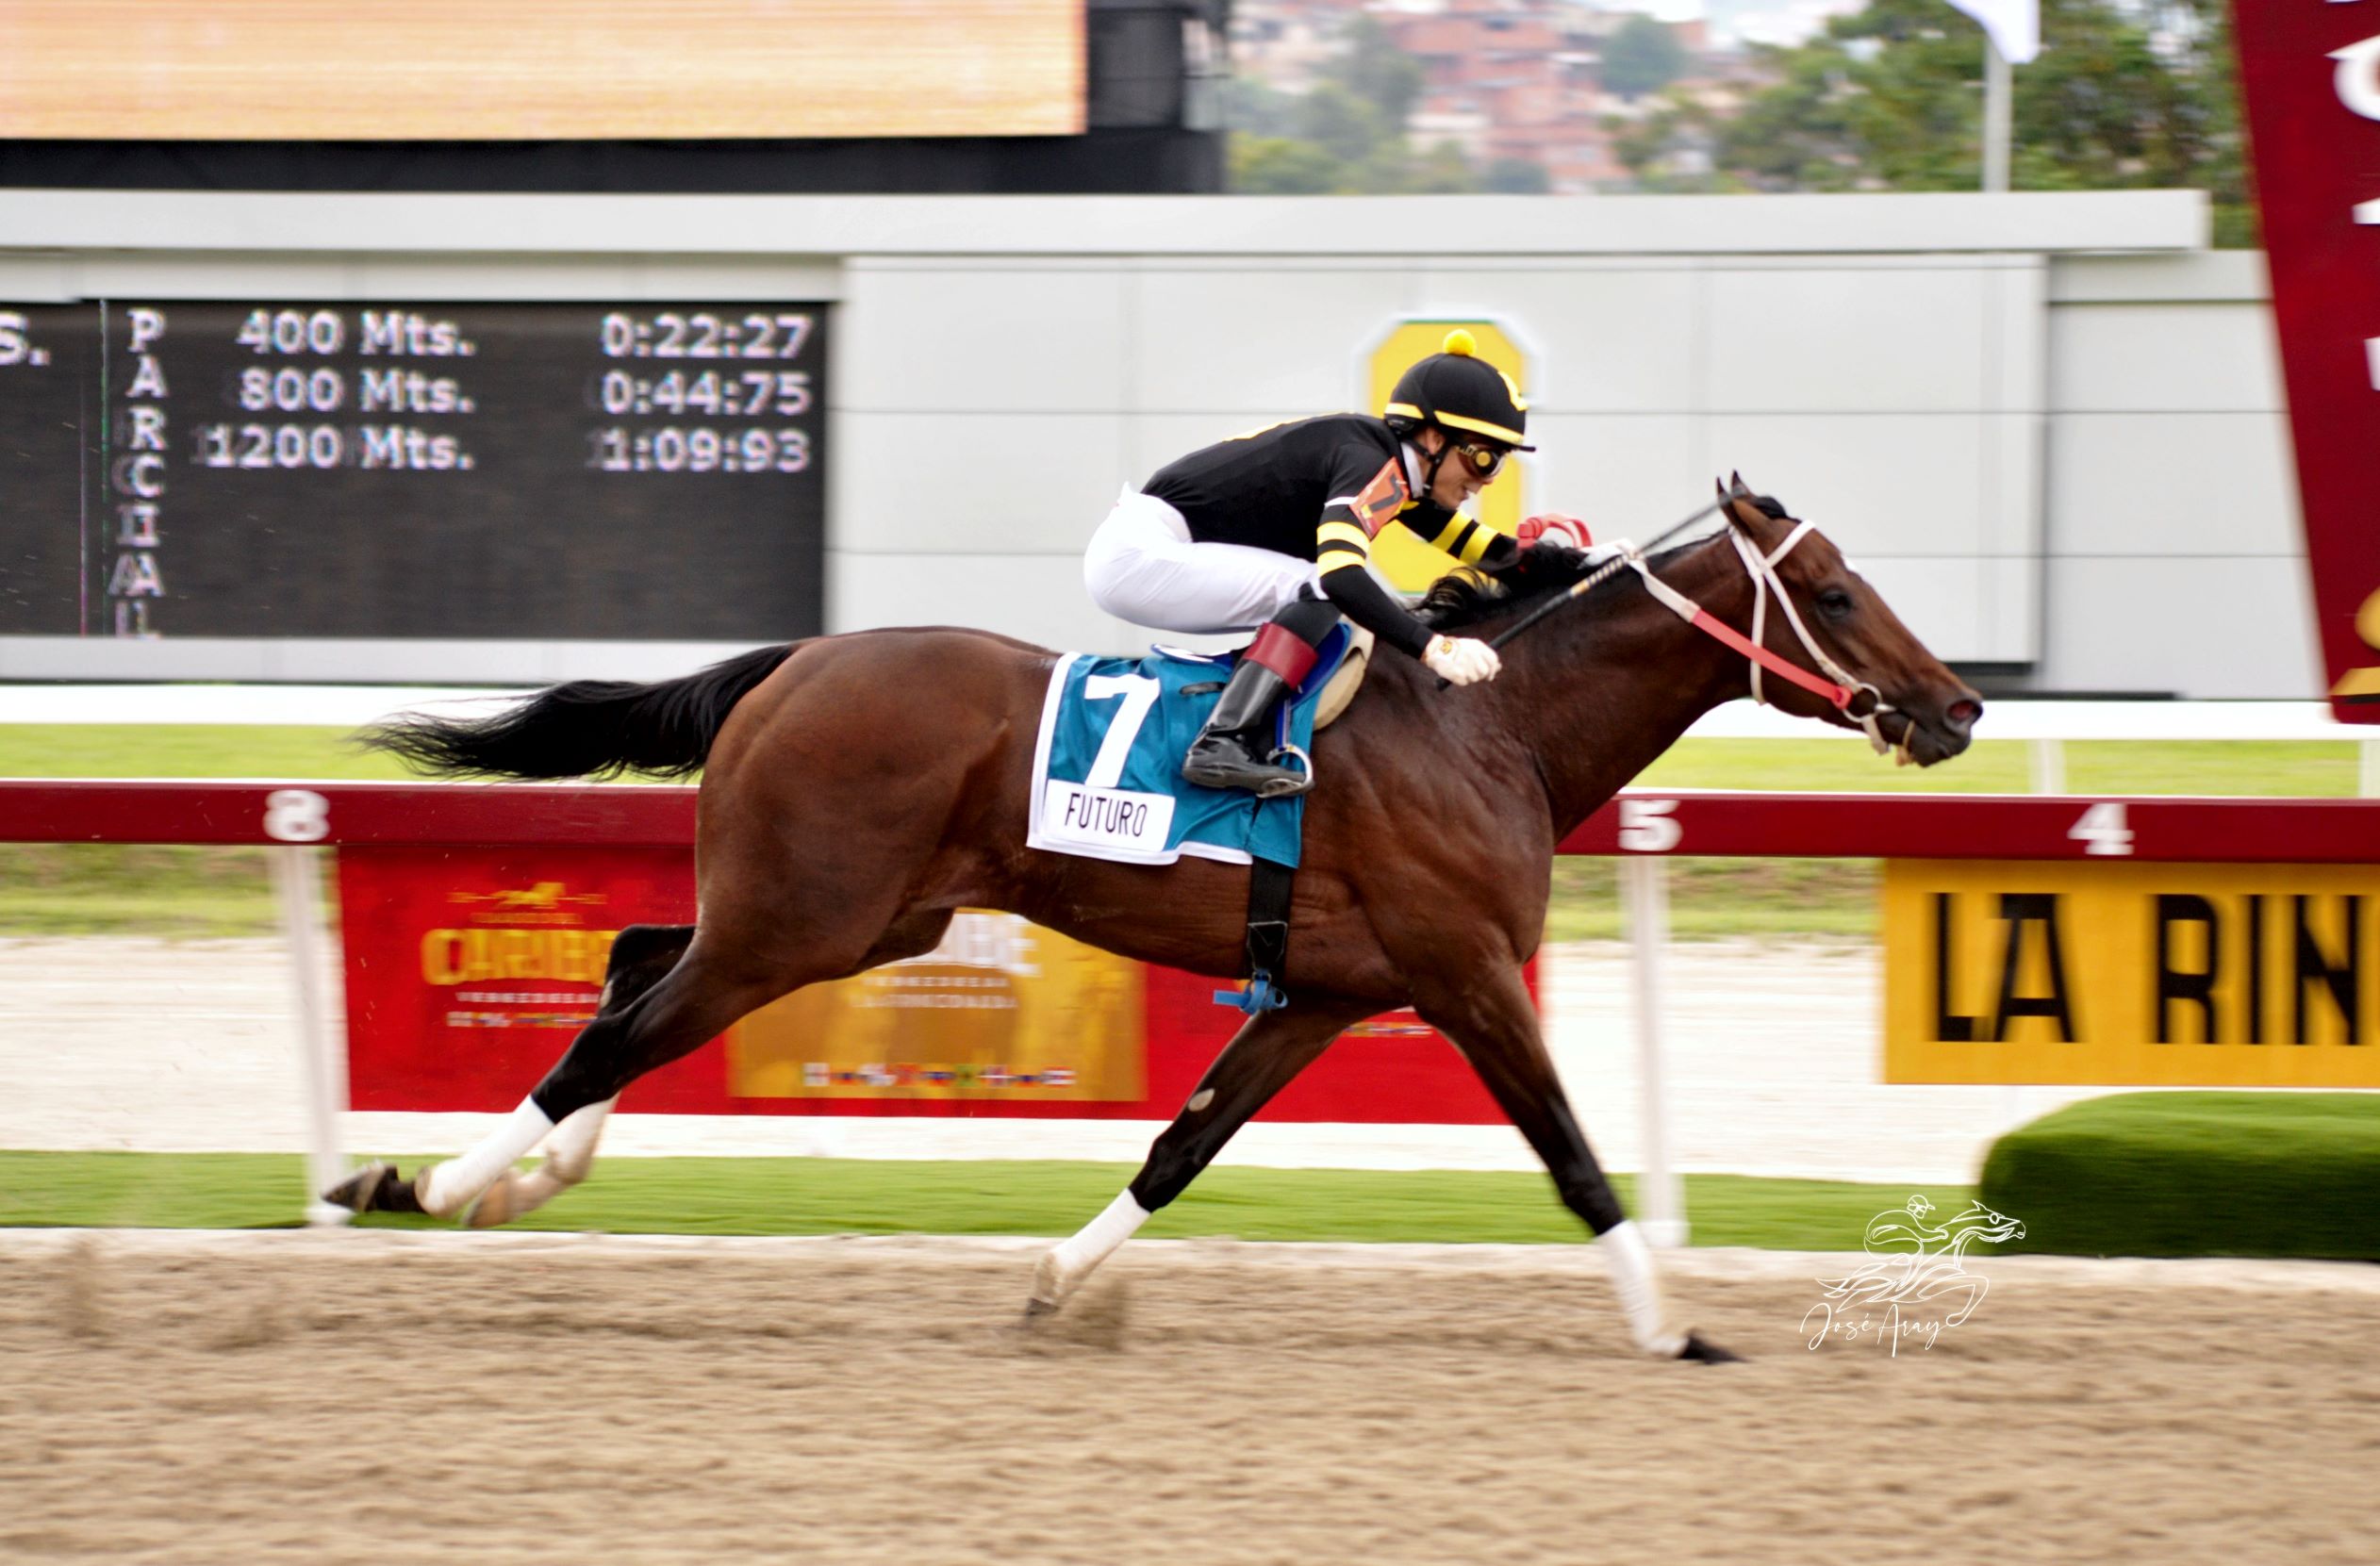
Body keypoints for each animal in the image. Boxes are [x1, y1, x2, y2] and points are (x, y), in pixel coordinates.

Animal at [329, 479, 1983, 1364]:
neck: (1493, 732)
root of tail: (794, 661)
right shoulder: (1467, 976)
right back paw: (431, 1180)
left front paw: (1057, 1284)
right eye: (1836, 593)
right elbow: (1575, 1161)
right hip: (801, 921)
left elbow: (1182, 1147)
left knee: (631, 971)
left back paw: (522, 1179)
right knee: (622, 1029)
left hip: (854, 917)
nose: (1960, 709)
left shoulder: (1322, 994)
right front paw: (1672, 1329)